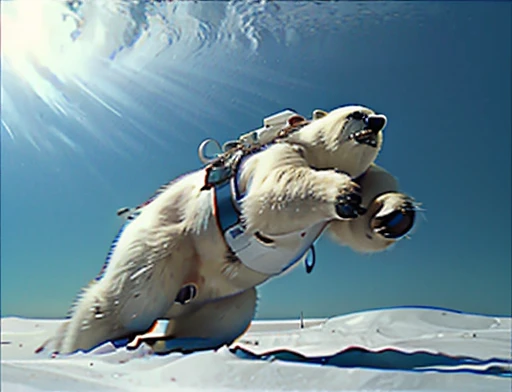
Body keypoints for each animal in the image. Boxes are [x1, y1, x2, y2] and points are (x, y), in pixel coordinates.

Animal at [39, 104, 416, 356]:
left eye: (374, 114)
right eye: (356, 113)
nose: (378, 121)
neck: (312, 149)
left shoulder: (361, 176)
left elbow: (360, 225)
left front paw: (394, 215)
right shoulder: (278, 154)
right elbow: (274, 191)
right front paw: (340, 192)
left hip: (217, 295)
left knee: (228, 314)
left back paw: (176, 341)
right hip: (165, 244)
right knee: (130, 302)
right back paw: (77, 346)